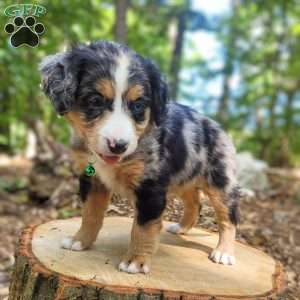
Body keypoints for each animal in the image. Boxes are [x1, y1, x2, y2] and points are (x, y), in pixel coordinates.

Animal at [39, 39, 241, 274]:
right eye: (95, 100)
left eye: (138, 105)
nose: (118, 146)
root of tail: (218, 128)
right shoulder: (92, 179)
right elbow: (90, 213)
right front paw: (80, 240)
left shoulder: (150, 185)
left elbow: (144, 227)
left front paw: (136, 260)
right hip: (184, 176)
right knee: (195, 203)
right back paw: (181, 228)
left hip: (220, 182)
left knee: (228, 217)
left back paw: (224, 252)